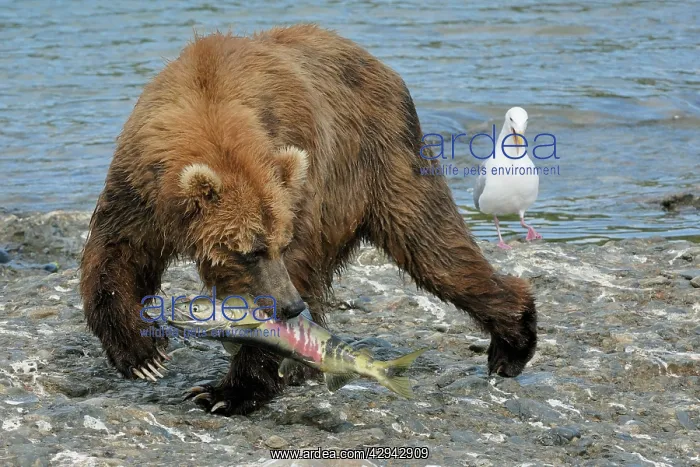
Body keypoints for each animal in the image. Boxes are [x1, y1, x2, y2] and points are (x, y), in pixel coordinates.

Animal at [79, 24, 537, 416]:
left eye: (277, 243)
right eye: (248, 250)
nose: (288, 306)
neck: (208, 99)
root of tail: (382, 67)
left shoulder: (298, 177)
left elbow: (294, 266)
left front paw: (228, 392)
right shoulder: (139, 191)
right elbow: (116, 256)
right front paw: (143, 355)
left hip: (383, 160)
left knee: (434, 248)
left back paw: (513, 341)